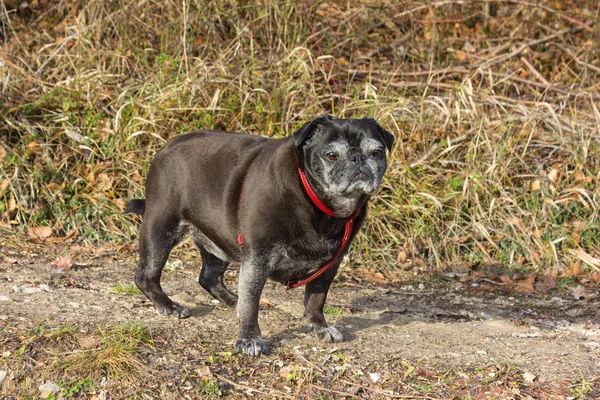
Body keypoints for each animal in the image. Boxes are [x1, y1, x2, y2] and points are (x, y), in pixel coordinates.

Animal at [126, 115, 394, 356]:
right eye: (331, 155)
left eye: (377, 153)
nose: (358, 158)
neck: (318, 204)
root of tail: (166, 148)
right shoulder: (258, 259)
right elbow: (252, 301)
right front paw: (249, 339)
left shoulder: (329, 266)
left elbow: (316, 300)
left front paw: (320, 327)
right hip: (161, 229)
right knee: (146, 276)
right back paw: (169, 306)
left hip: (217, 243)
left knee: (209, 278)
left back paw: (233, 301)